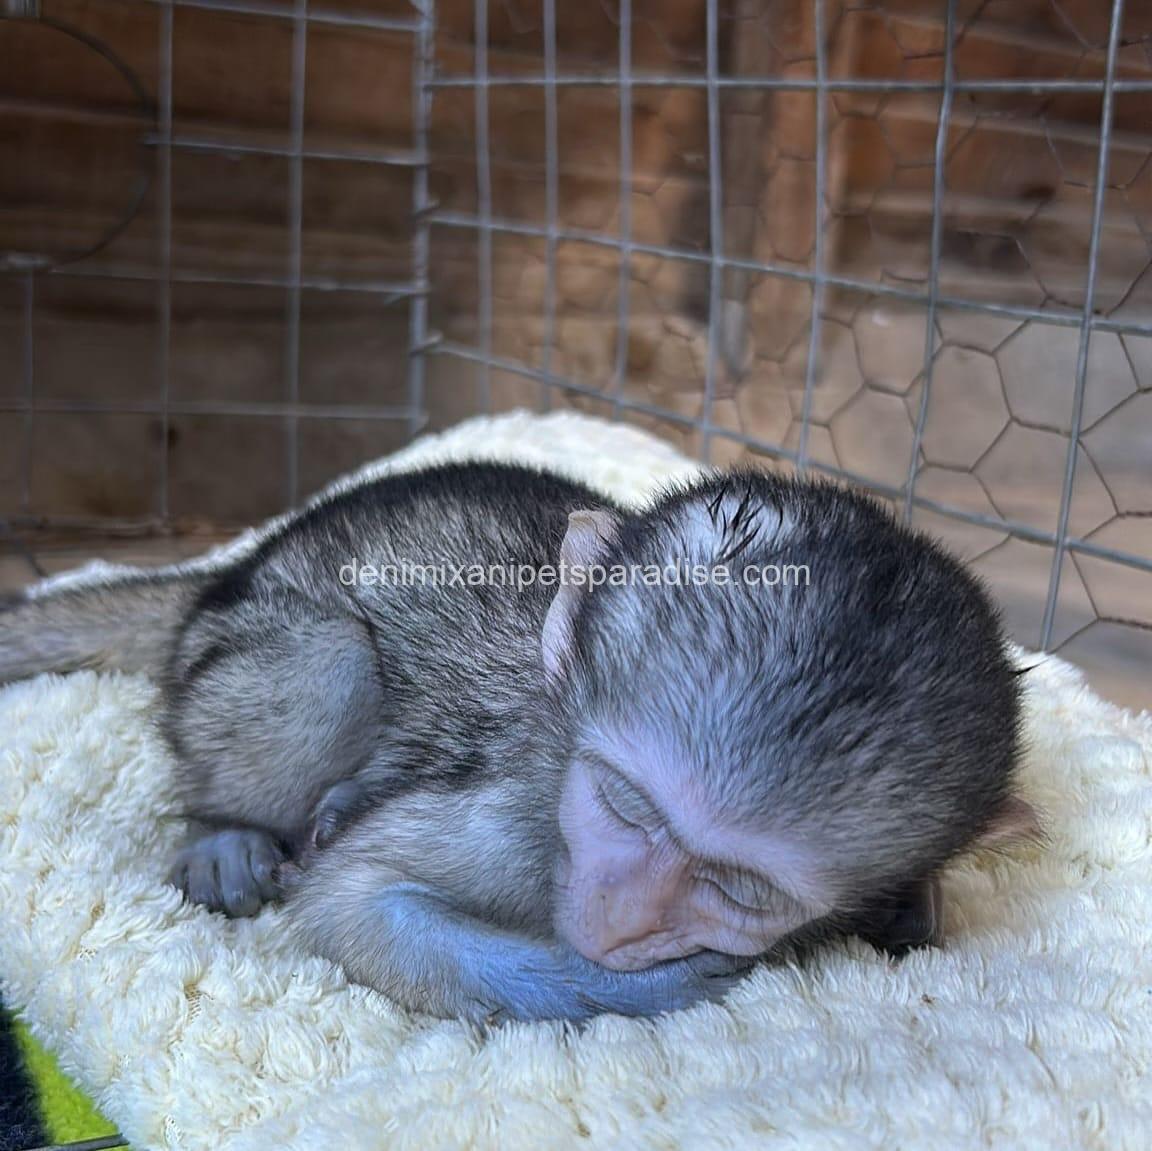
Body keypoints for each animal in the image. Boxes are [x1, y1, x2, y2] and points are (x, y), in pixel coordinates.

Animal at [0, 461, 1031, 1023]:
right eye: (624, 803)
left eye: (742, 888)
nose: (620, 920)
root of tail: (236, 563)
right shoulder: (524, 817)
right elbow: (355, 904)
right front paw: (637, 989)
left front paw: (910, 906)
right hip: (234, 642)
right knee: (327, 659)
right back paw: (226, 827)